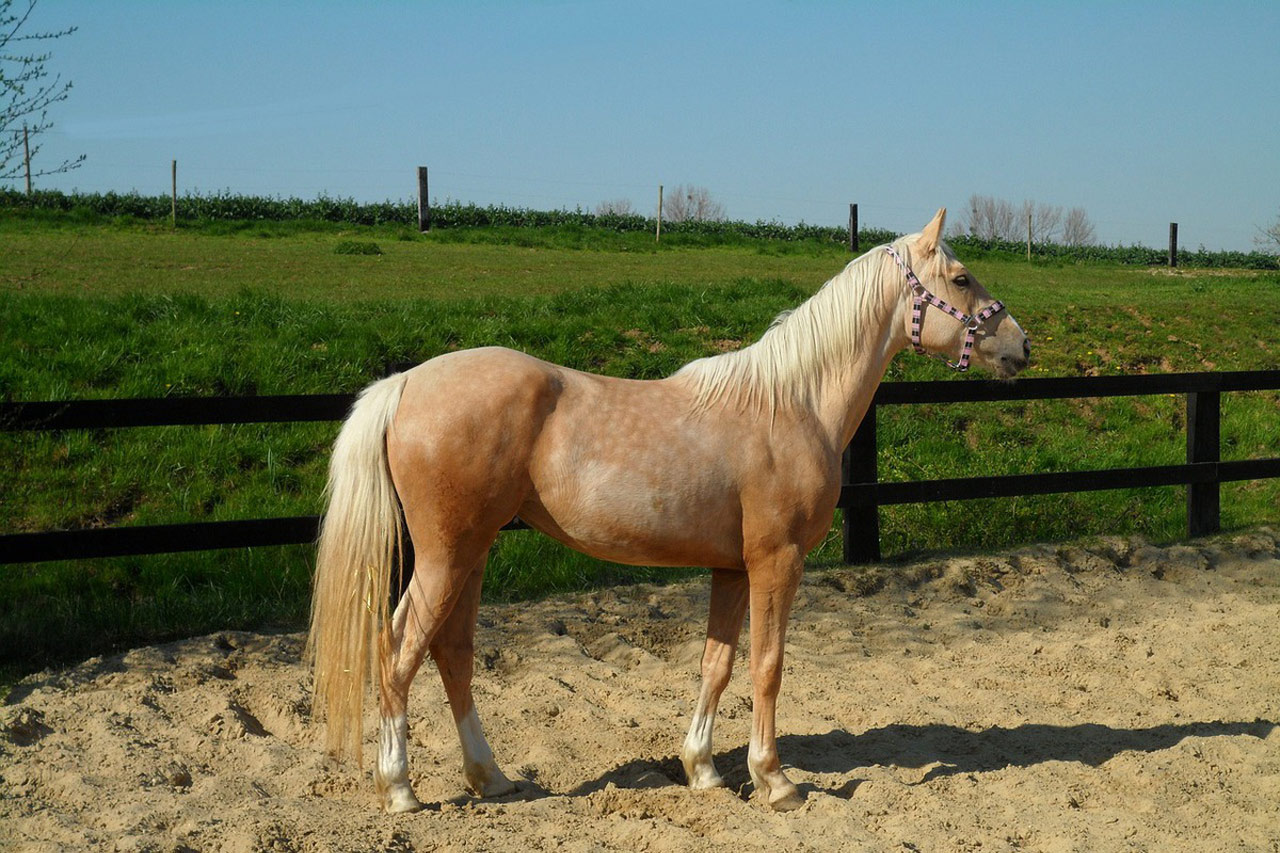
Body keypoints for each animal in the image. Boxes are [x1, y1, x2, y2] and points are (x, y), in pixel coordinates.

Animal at [307, 208, 1030, 813]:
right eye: (961, 277)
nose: (1021, 347)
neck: (792, 403)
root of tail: (404, 383)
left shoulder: (732, 569)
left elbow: (718, 664)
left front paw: (703, 770)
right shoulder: (777, 562)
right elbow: (768, 665)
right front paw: (775, 781)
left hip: (472, 552)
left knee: (451, 651)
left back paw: (492, 777)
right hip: (446, 555)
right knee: (398, 651)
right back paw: (401, 788)